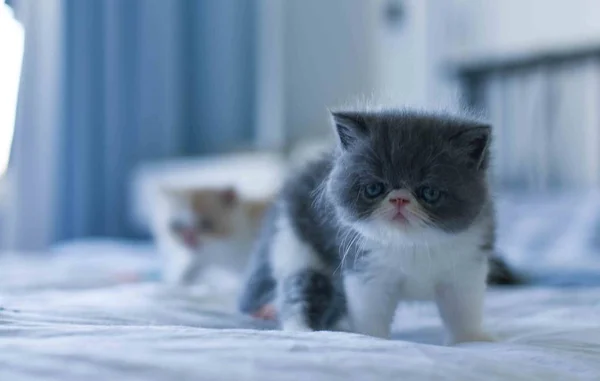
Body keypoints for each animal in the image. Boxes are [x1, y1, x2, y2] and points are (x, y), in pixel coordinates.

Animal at [240, 108, 496, 342]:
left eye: (429, 192)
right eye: (374, 189)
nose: (399, 198)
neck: (412, 244)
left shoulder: (467, 265)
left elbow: (463, 309)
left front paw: (472, 340)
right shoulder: (366, 267)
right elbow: (371, 312)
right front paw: (371, 338)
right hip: (294, 242)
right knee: (300, 289)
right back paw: (301, 329)